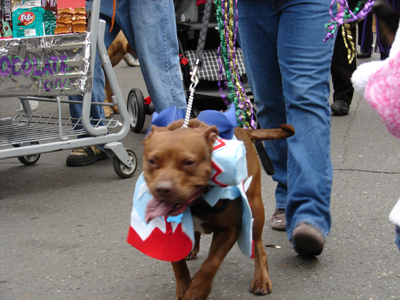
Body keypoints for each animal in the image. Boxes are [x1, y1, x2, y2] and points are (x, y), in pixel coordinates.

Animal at [143, 118, 294, 298]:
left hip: (255, 210)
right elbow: (178, 265)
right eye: (152, 161)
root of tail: (243, 130)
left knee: (258, 246)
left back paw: (261, 279)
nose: (162, 189)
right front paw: (184, 288)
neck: (198, 201)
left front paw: (197, 291)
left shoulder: (230, 229)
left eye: (189, 163)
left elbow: (211, 263)